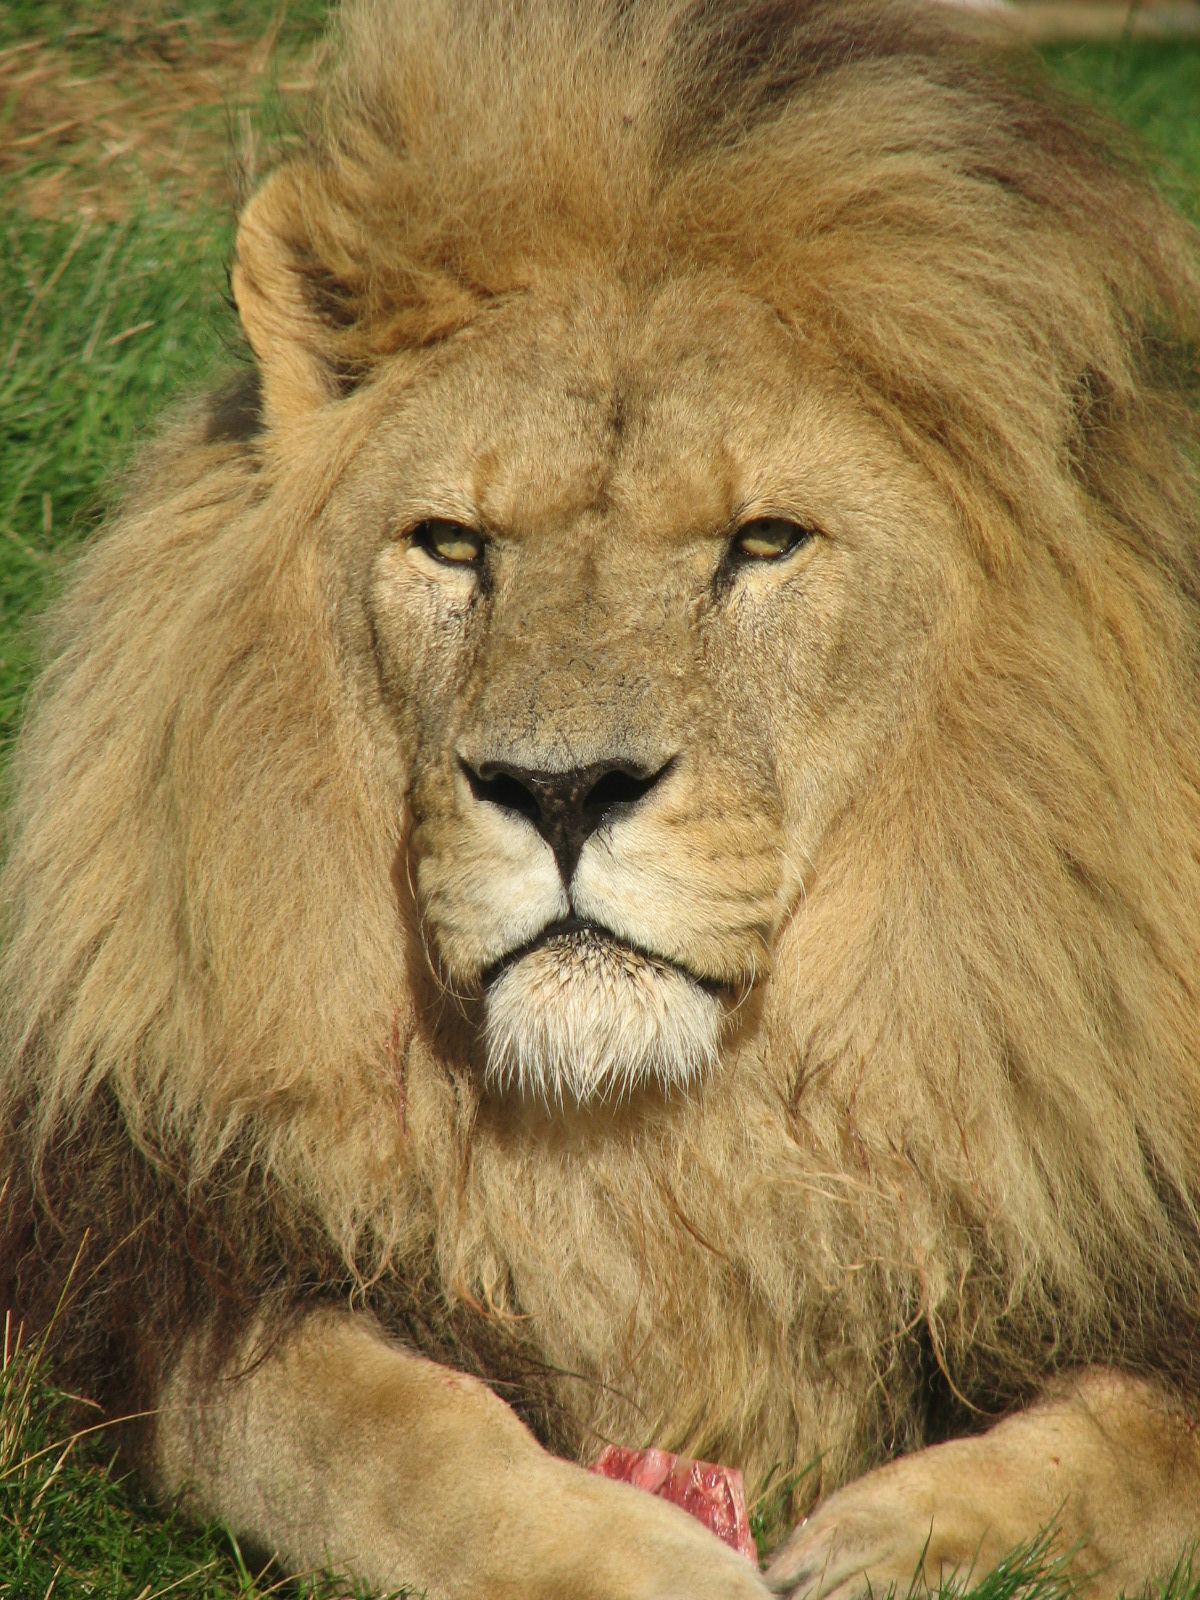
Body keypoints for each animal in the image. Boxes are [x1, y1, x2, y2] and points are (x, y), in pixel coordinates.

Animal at [3, 0, 1200, 1595]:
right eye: (453, 544)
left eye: (764, 542)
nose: (560, 788)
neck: (650, 1151)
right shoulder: (176, 1262)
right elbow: (363, 1431)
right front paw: (648, 1557)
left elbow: (1136, 1444)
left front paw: (901, 1542)